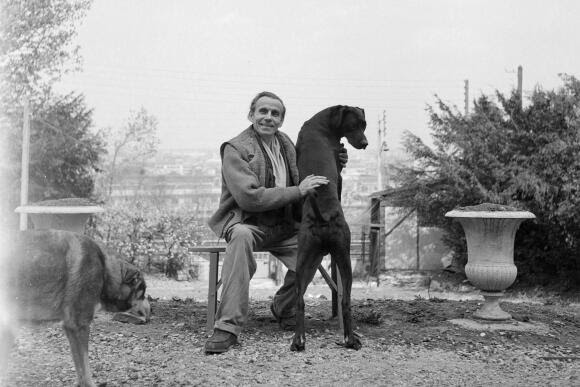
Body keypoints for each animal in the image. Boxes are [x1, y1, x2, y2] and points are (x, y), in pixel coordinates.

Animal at [0, 230, 152, 387]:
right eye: (143, 293)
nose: (150, 310)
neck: (105, 270)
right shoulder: (80, 326)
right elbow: (85, 365)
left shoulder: (71, 329)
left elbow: (79, 366)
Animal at [290, 105, 368, 352]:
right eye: (354, 125)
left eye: (364, 124)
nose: (365, 143)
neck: (322, 124)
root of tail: (323, 217)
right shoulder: (340, 172)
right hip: (344, 256)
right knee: (345, 300)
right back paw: (350, 339)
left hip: (303, 260)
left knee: (300, 300)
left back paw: (298, 340)